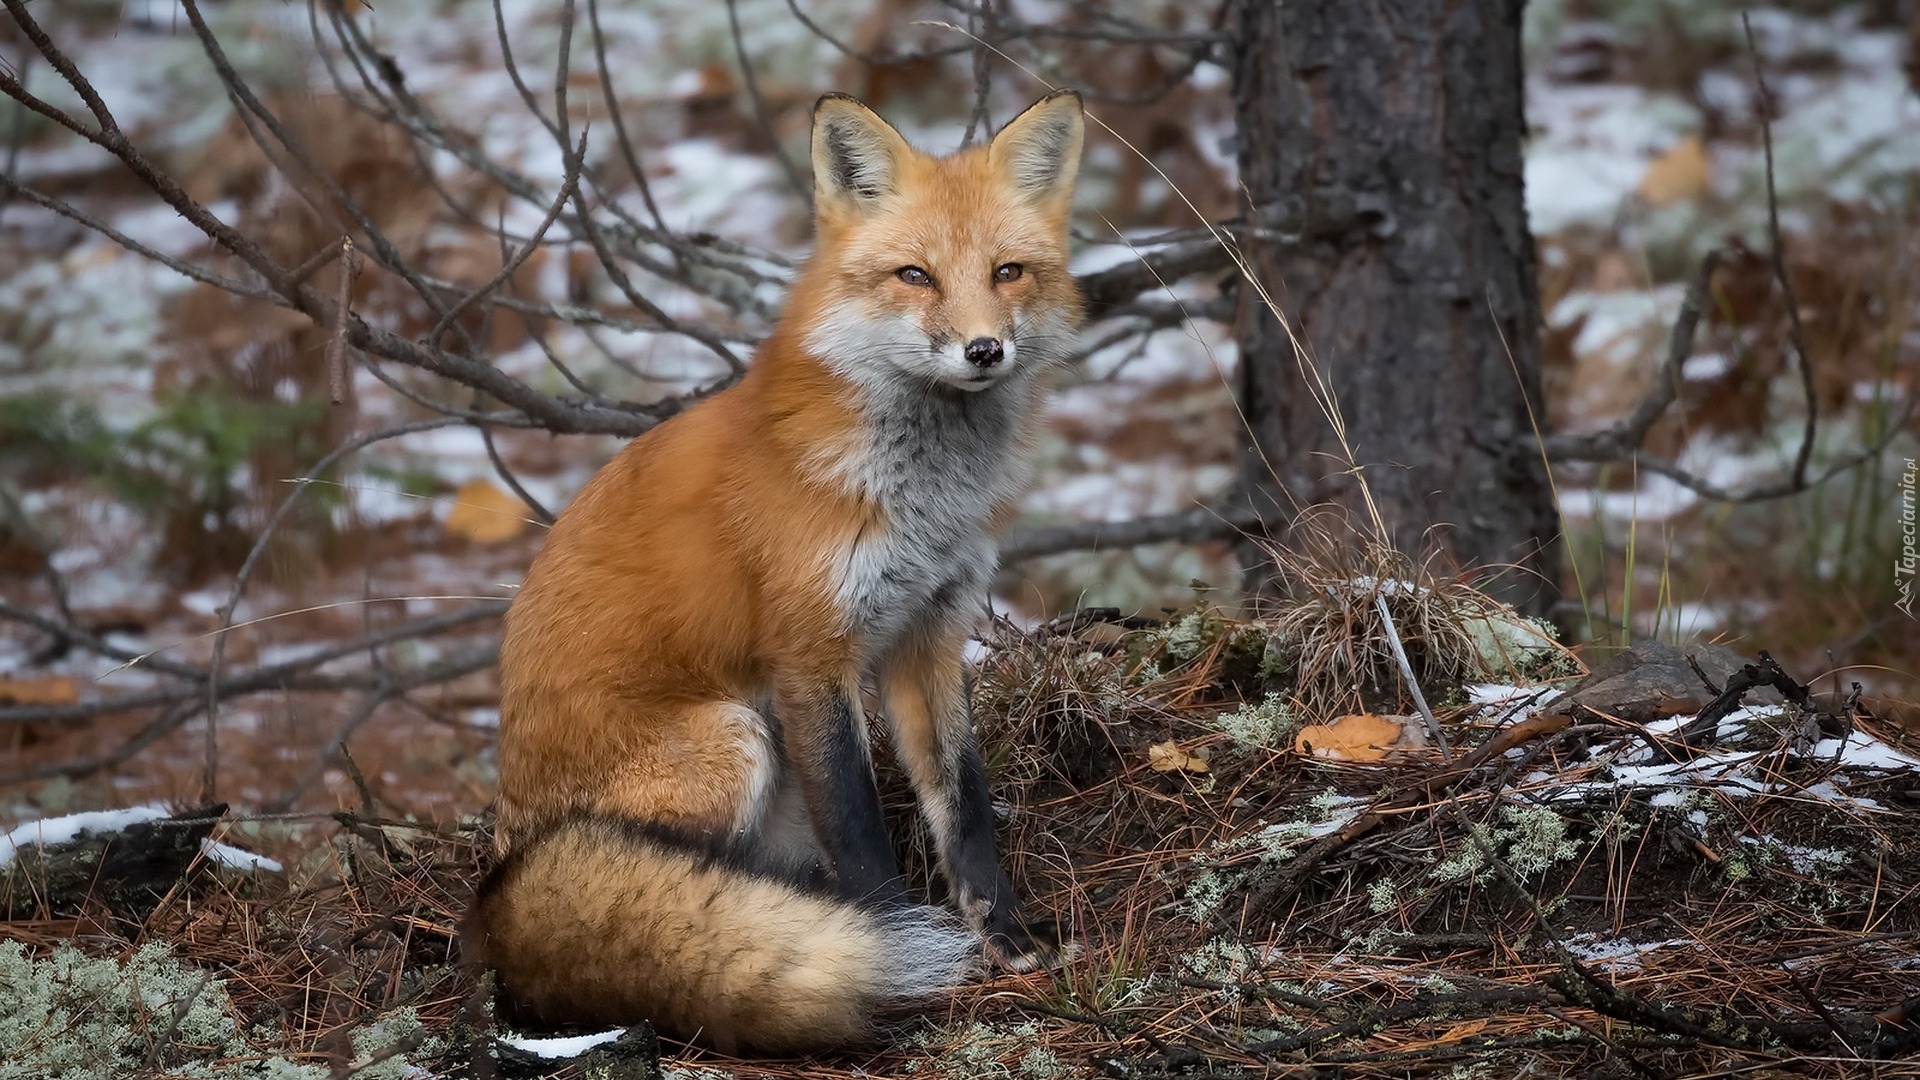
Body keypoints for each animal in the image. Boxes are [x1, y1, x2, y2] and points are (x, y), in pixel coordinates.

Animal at [466, 92, 1090, 1053]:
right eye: (915, 276)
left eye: (1009, 271)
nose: (985, 350)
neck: (917, 496)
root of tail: (501, 883)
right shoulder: (810, 653)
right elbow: (861, 830)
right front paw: (890, 948)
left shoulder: (928, 634)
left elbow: (964, 802)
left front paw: (1005, 934)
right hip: (734, 738)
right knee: (678, 886)